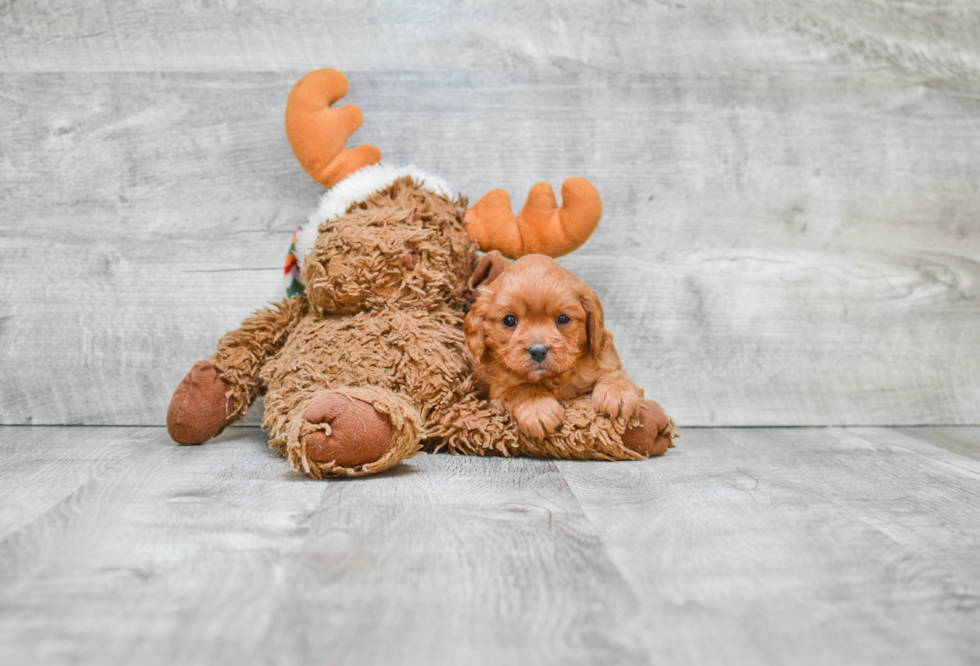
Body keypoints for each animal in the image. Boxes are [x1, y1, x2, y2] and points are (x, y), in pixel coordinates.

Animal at [466, 253, 644, 436]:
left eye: (563, 318)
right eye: (509, 320)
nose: (538, 351)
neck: (552, 379)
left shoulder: (605, 360)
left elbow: (618, 374)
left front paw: (617, 394)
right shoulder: (497, 393)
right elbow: (520, 389)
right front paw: (538, 408)